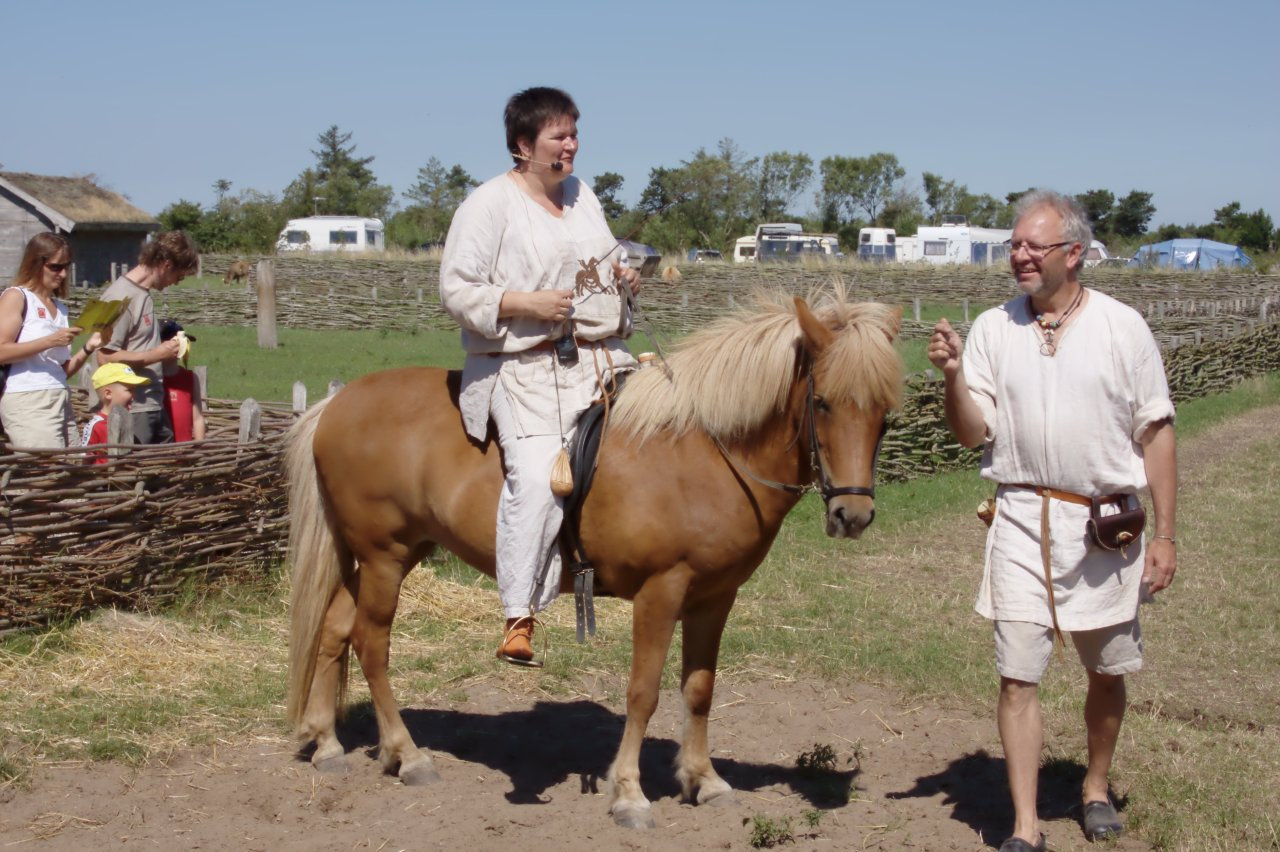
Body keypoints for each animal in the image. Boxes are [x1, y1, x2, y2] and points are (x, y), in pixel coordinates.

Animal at [285, 285, 906, 823]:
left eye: (884, 414)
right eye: (822, 403)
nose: (853, 516)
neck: (705, 453)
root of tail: (336, 403)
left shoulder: (714, 598)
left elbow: (699, 689)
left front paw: (703, 779)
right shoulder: (660, 593)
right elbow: (644, 691)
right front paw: (629, 792)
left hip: (387, 554)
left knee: (335, 629)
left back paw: (327, 743)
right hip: (384, 557)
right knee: (371, 644)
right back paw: (406, 754)